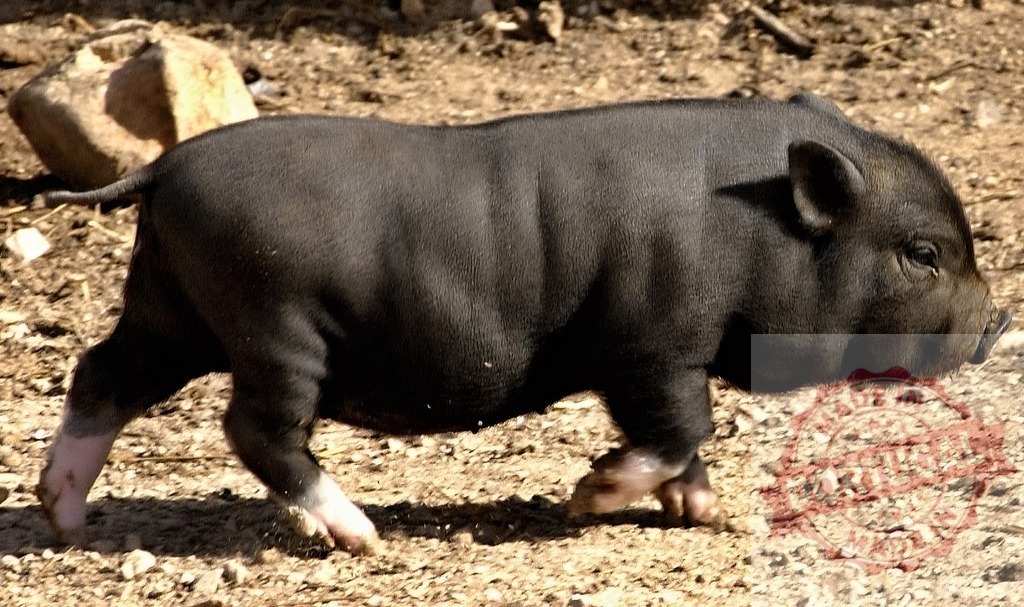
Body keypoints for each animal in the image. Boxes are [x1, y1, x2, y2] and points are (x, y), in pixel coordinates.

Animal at [38, 93, 1010, 554]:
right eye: (923, 253)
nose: (996, 320)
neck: (756, 231)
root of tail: (164, 169)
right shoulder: (651, 338)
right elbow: (680, 424)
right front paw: (591, 497)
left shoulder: (663, 351)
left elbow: (686, 438)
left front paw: (708, 514)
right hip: (274, 325)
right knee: (257, 427)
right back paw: (359, 534)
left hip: (167, 309)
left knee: (100, 375)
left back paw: (65, 517)